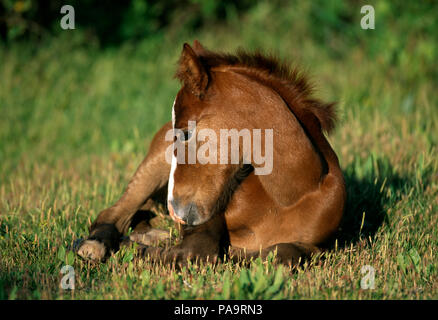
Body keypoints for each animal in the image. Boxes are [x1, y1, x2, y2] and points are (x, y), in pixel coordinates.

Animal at [77, 40, 348, 264]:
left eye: (185, 133)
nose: (175, 211)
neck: (290, 196)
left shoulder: (320, 246)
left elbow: (284, 254)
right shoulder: (202, 218)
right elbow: (199, 250)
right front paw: (135, 250)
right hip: (153, 166)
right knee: (115, 212)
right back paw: (95, 245)